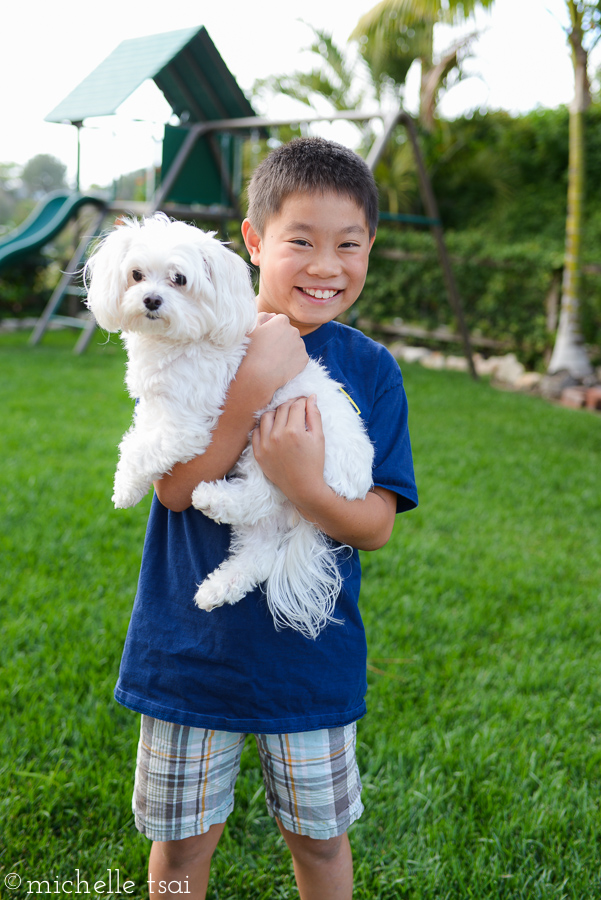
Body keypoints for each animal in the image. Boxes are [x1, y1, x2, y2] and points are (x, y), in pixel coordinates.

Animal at [86, 214, 372, 636]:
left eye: (179, 279)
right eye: (136, 275)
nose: (151, 300)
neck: (179, 342)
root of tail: (350, 492)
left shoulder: (188, 426)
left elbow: (143, 449)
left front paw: (124, 489)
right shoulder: (155, 409)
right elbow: (135, 441)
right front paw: (128, 484)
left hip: (273, 445)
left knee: (260, 495)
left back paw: (211, 498)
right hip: (267, 507)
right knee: (258, 552)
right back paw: (219, 587)